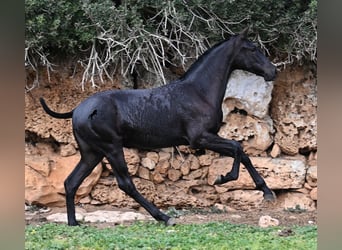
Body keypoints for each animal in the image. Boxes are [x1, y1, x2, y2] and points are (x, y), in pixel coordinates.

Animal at [40, 28, 276, 226]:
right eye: (252, 49)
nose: (273, 71)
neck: (198, 92)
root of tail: (77, 111)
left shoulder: (207, 138)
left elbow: (242, 153)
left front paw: (266, 191)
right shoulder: (200, 138)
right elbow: (238, 148)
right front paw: (224, 178)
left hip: (92, 153)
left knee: (71, 182)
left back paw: (73, 223)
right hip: (111, 148)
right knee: (125, 183)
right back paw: (164, 217)